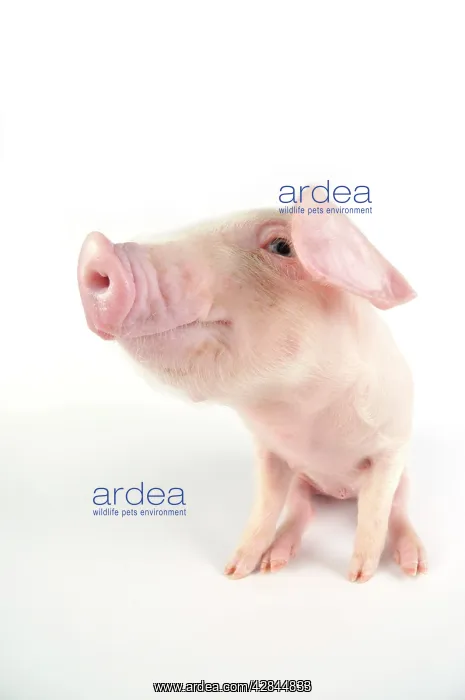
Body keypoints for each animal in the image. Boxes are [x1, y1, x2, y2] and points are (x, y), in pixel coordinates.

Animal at [77, 192, 427, 583]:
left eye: (282, 246)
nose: (95, 247)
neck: (306, 418)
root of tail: (340, 493)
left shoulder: (391, 447)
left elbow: (375, 512)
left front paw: (358, 577)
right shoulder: (270, 452)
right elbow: (265, 506)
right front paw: (235, 571)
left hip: (405, 479)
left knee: (397, 511)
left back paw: (414, 565)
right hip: (303, 482)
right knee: (301, 510)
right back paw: (276, 561)